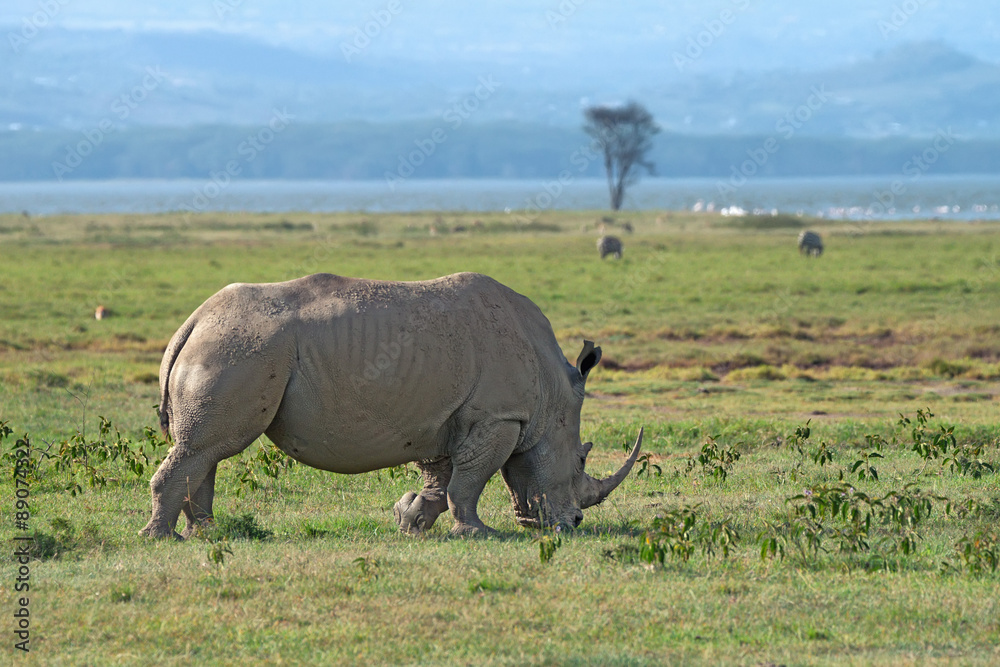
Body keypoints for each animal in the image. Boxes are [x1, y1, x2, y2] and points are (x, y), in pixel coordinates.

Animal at [140, 272, 642, 539]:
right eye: (580, 461)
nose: (573, 522)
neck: (554, 391)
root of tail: (194, 320)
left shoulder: (449, 417)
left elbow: (445, 477)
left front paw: (410, 520)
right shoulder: (498, 417)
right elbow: (471, 478)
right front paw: (478, 534)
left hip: (231, 345)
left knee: (206, 451)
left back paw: (206, 534)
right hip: (240, 348)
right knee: (209, 446)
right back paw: (163, 539)